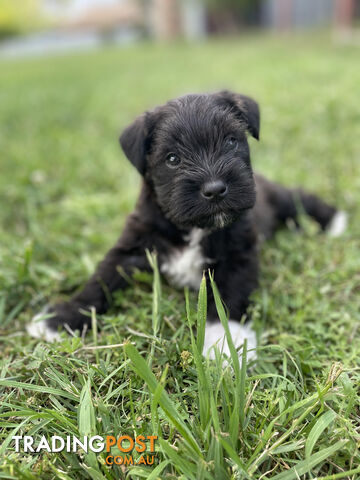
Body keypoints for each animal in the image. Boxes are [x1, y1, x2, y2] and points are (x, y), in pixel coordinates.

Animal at [27, 92, 346, 358]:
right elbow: (100, 280)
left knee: (297, 198)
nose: (215, 189)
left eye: (231, 141)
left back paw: (333, 220)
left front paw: (225, 345)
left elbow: (228, 298)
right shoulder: (133, 247)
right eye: (172, 159)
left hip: (277, 197)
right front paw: (61, 319)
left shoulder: (238, 255)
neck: (192, 226)